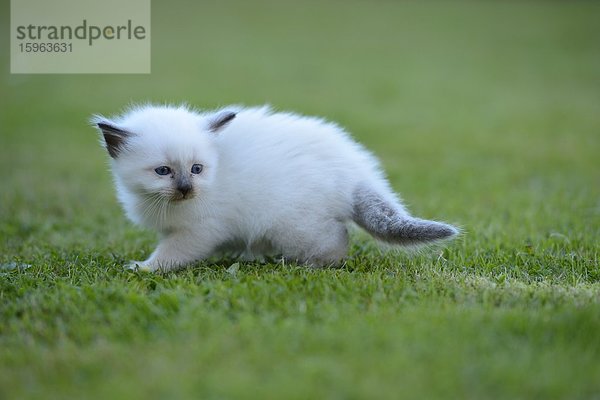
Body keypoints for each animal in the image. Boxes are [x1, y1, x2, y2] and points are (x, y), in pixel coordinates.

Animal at [92, 104, 460, 272]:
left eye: (197, 169)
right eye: (163, 171)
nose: (185, 188)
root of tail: (357, 172)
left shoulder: (200, 231)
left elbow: (171, 254)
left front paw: (143, 268)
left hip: (294, 225)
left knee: (336, 244)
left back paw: (304, 264)